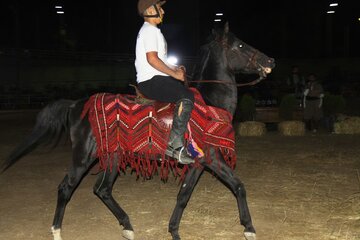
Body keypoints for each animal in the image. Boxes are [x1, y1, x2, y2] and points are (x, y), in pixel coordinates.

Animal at [1, 23, 274, 240]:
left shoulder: (199, 163)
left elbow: (184, 195)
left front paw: (174, 230)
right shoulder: (212, 158)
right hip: (83, 157)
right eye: (240, 45)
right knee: (66, 187)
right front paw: (249, 228)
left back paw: (127, 226)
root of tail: (76, 104)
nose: (270, 62)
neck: (209, 103)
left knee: (102, 189)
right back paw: (57, 230)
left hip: (111, 156)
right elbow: (237, 186)